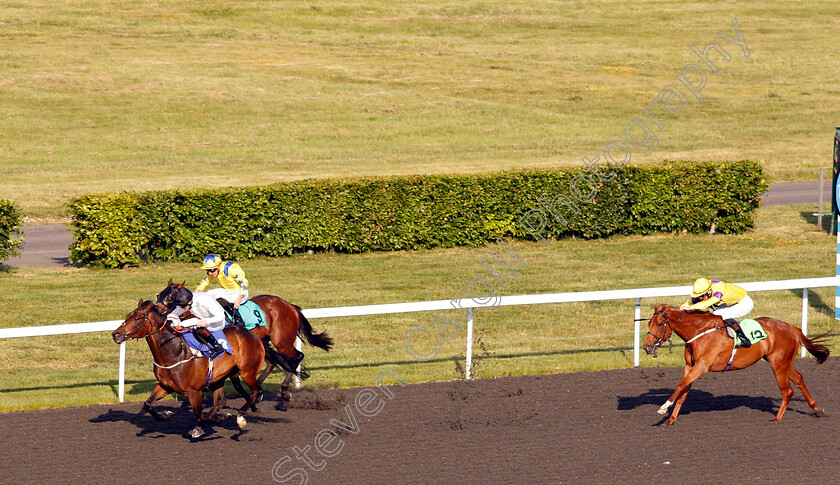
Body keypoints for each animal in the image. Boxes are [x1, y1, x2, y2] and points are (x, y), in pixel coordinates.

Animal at [111, 296, 268, 436]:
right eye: (128, 316)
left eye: (137, 318)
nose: (115, 334)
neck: (174, 352)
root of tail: (252, 334)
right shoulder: (165, 386)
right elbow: (147, 404)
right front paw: (166, 414)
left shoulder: (194, 391)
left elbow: (199, 416)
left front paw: (221, 418)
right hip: (220, 377)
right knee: (220, 401)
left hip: (247, 372)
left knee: (255, 391)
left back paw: (240, 417)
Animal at [158, 280, 332, 400]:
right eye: (158, 295)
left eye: (169, 297)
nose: (158, 312)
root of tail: (290, 306)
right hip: (263, 340)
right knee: (272, 362)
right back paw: (260, 387)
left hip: (282, 341)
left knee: (297, 357)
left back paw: (283, 391)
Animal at [644, 304, 828, 426]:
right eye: (648, 323)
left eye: (659, 324)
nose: (647, 347)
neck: (698, 331)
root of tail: (791, 327)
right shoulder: (690, 366)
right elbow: (683, 390)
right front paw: (670, 419)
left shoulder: (702, 366)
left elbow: (680, 385)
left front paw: (663, 408)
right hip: (782, 362)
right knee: (799, 379)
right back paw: (815, 408)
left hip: (778, 363)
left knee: (787, 391)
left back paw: (777, 419)